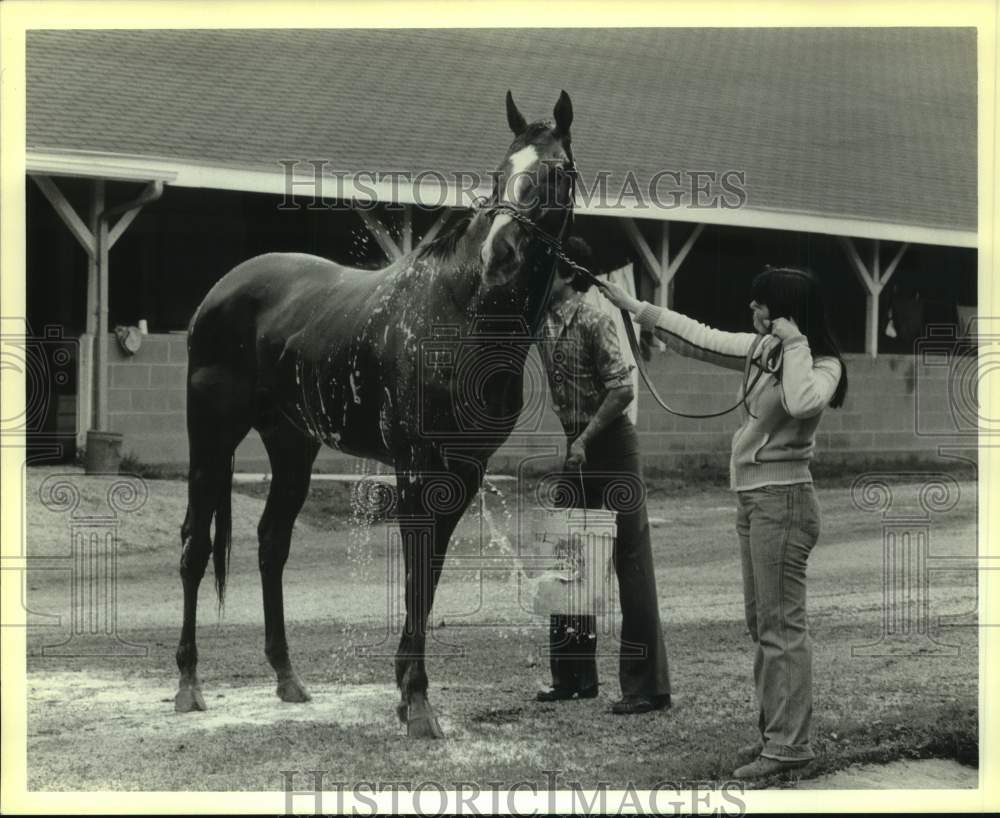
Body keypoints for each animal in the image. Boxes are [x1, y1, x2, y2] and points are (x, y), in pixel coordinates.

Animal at [173, 87, 580, 732]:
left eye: (557, 171)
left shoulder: (465, 471)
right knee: (195, 544)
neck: (462, 314)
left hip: (292, 445)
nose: (500, 254)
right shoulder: (416, 467)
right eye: (500, 172)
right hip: (211, 441)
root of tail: (218, 294)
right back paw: (189, 684)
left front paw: (408, 694)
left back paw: (288, 678)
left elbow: (429, 574)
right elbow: (415, 570)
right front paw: (416, 703)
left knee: (270, 543)